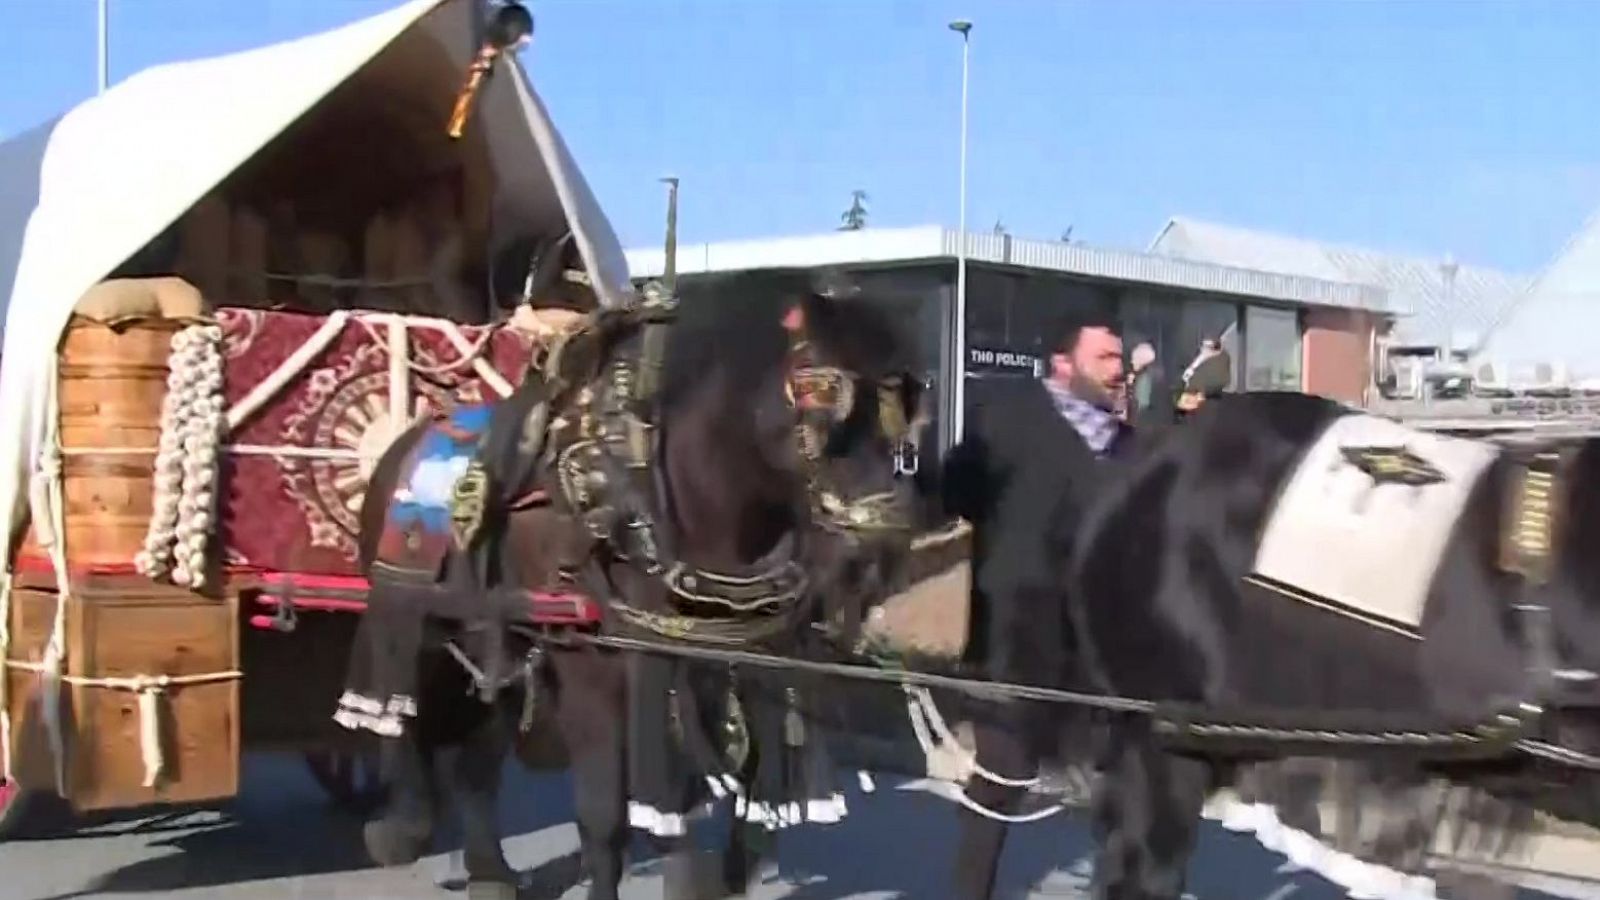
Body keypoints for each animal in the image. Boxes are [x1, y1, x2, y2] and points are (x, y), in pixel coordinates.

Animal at [344, 267, 934, 896]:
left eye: (903, 406)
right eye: (823, 394)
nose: (883, 547)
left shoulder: (722, 667)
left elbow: (717, 802)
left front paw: (724, 868)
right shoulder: (590, 677)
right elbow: (605, 817)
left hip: (495, 635)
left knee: (478, 754)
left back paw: (488, 869)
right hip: (418, 616)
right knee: (409, 709)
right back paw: (403, 822)